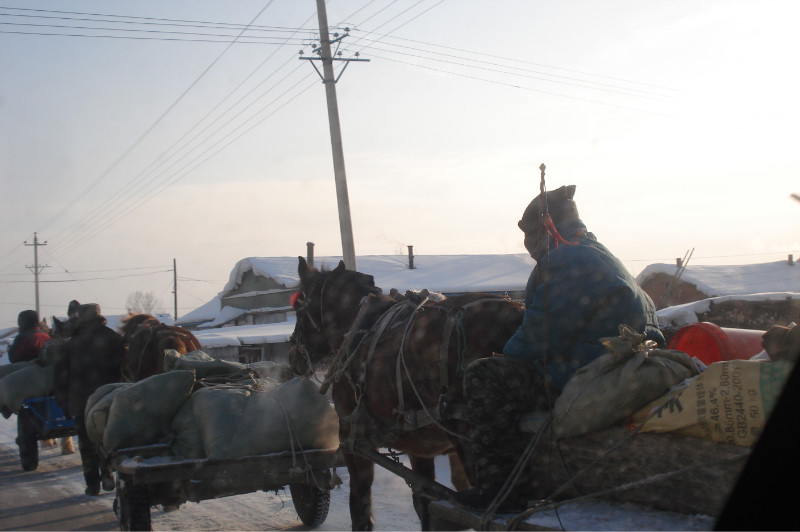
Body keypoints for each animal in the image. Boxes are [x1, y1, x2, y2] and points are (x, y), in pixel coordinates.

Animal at [290, 256, 524, 528]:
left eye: (299, 310)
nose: (292, 356)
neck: (358, 327)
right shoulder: (424, 449)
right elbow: (427, 507)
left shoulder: (353, 444)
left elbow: (361, 510)